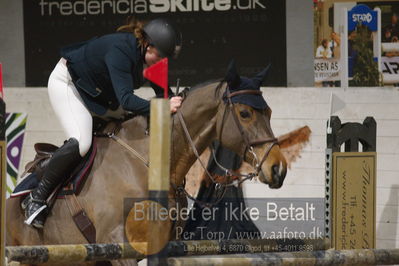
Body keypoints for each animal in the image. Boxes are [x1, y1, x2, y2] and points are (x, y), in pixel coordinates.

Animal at [5, 72, 288, 266]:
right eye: (245, 113)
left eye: (270, 112)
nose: (279, 168)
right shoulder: (117, 243)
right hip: (23, 255)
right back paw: (34, 205)